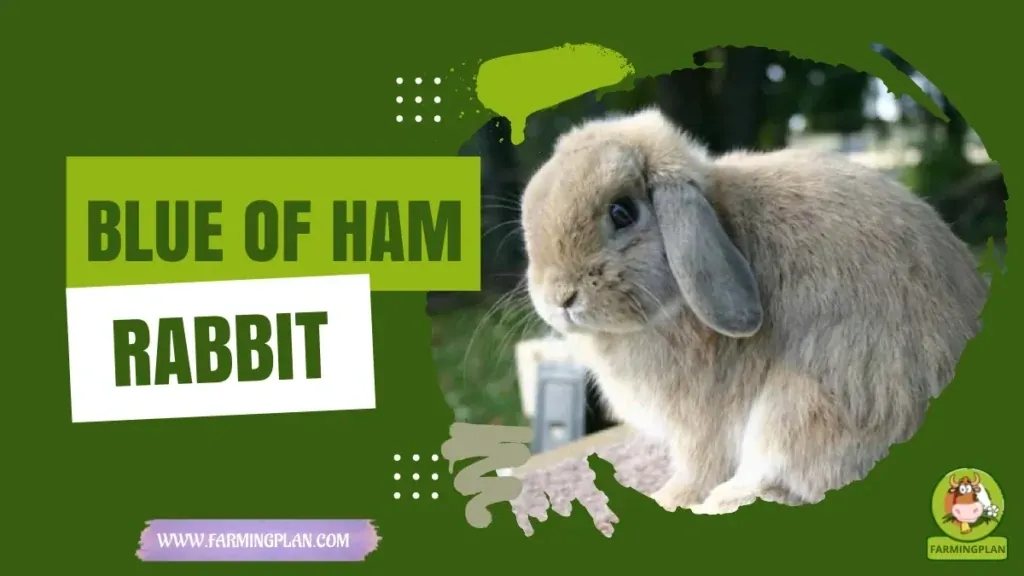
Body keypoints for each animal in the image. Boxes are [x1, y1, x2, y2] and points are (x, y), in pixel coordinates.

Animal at [519, 108, 988, 515]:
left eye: (622, 212)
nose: (559, 298)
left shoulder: (700, 426)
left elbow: (697, 469)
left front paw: (668, 499)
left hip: (806, 404)